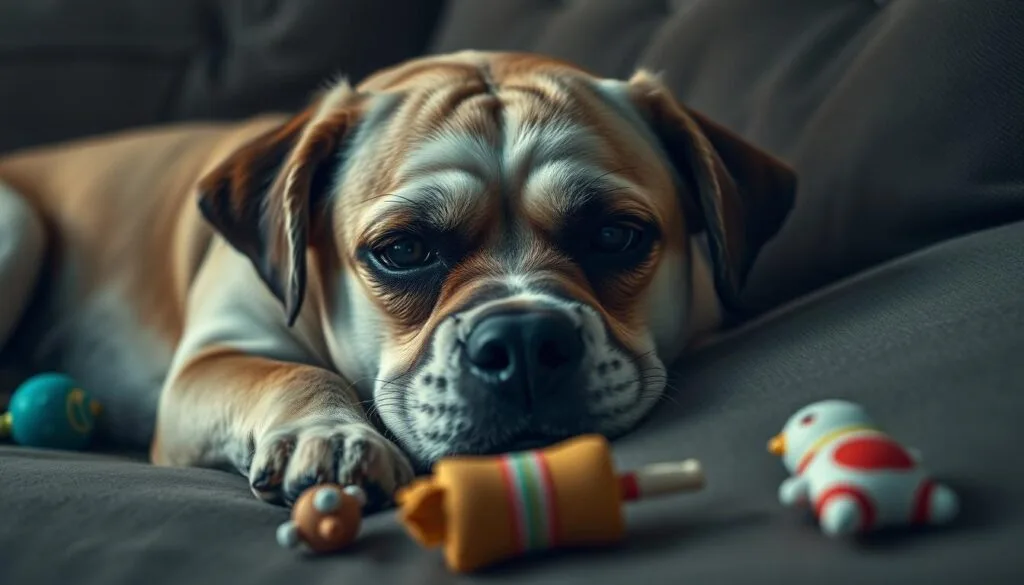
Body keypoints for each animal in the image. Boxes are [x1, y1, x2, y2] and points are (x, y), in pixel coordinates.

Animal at [0, 51, 794, 508]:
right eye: (403, 250)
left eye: (615, 236)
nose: (523, 340)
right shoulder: (211, 362)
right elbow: (292, 373)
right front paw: (330, 434)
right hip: (17, 223)